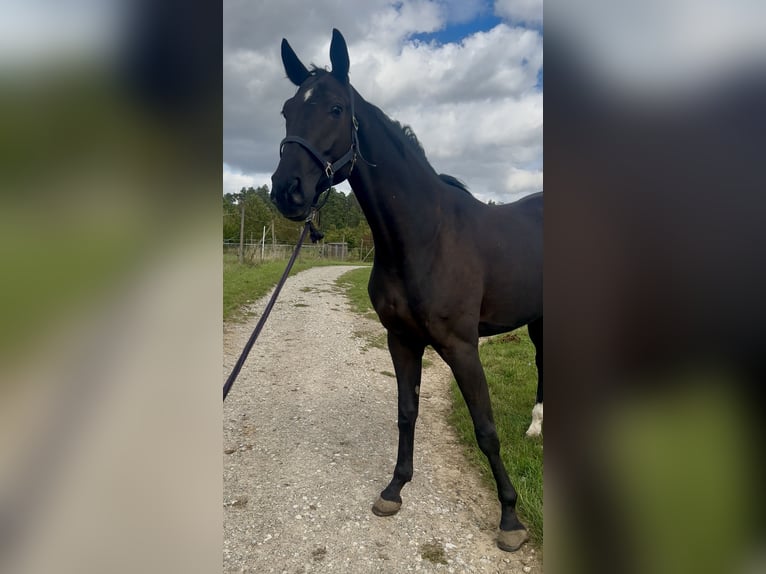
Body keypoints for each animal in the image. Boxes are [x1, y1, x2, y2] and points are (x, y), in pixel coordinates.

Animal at [270, 29, 543, 552]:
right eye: (287, 110)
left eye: (335, 108)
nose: (286, 190)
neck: (424, 236)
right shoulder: (401, 340)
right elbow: (406, 411)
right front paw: (395, 488)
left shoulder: (462, 346)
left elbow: (485, 429)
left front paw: (510, 519)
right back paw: (538, 427)